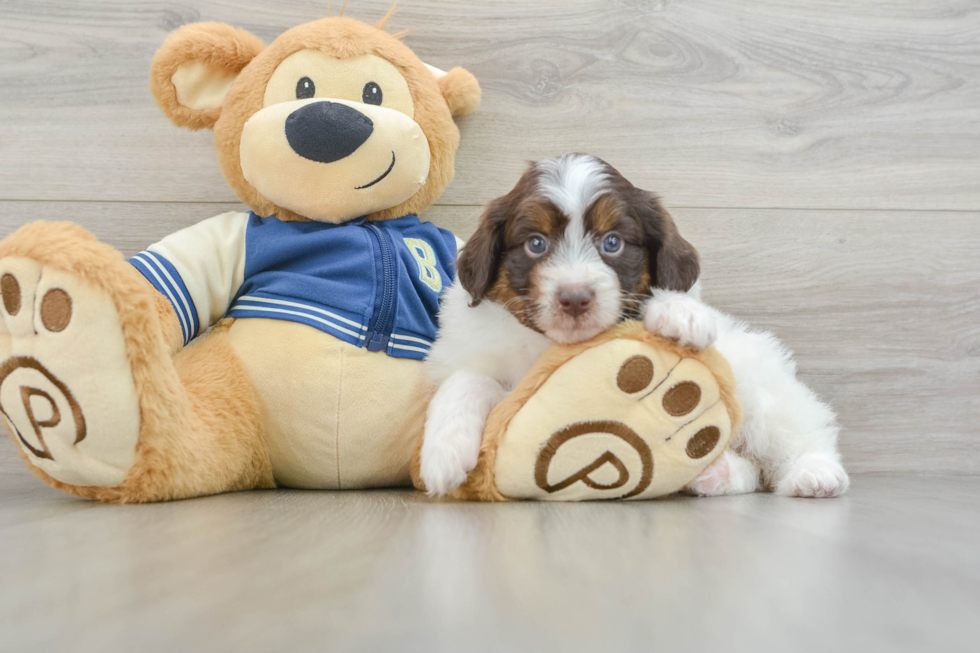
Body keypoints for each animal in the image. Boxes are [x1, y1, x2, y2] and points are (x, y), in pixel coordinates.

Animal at [422, 154, 848, 500]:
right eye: (536, 244)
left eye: (613, 243)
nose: (574, 298)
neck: (551, 346)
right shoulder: (479, 362)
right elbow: (466, 381)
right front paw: (443, 451)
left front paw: (679, 313)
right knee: (751, 469)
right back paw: (716, 473)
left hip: (759, 383)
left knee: (796, 429)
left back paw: (815, 473)